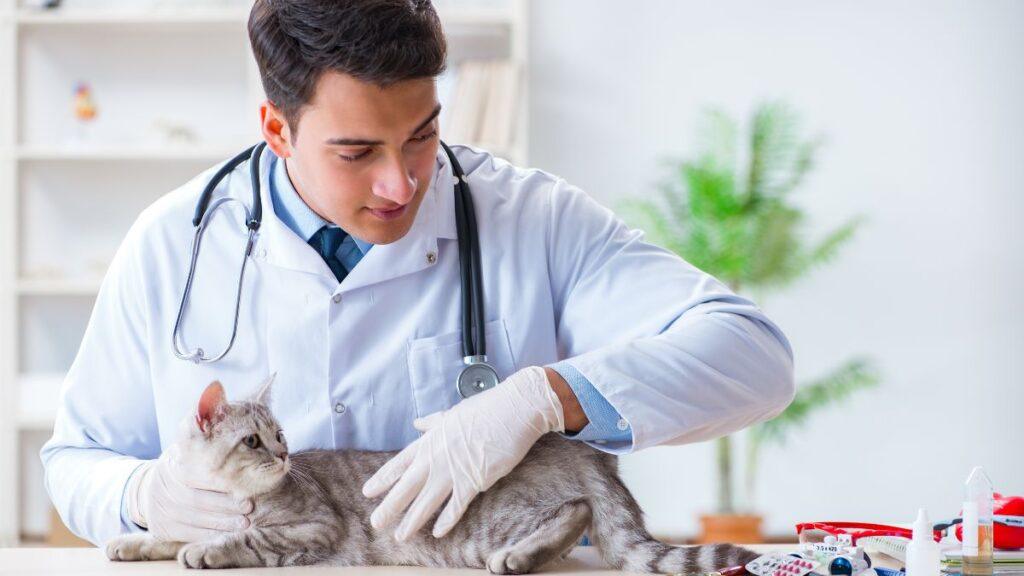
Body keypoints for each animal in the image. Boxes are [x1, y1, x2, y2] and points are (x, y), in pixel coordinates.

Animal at [105, 377, 761, 569]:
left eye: (281, 437)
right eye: (253, 440)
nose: (285, 456)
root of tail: (578, 448)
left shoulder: (316, 527)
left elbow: (247, 538)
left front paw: (210, 549)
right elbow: (167, 532)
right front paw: (133, 541)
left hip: (477, 525)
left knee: (572, 514)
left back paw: (518, 558)